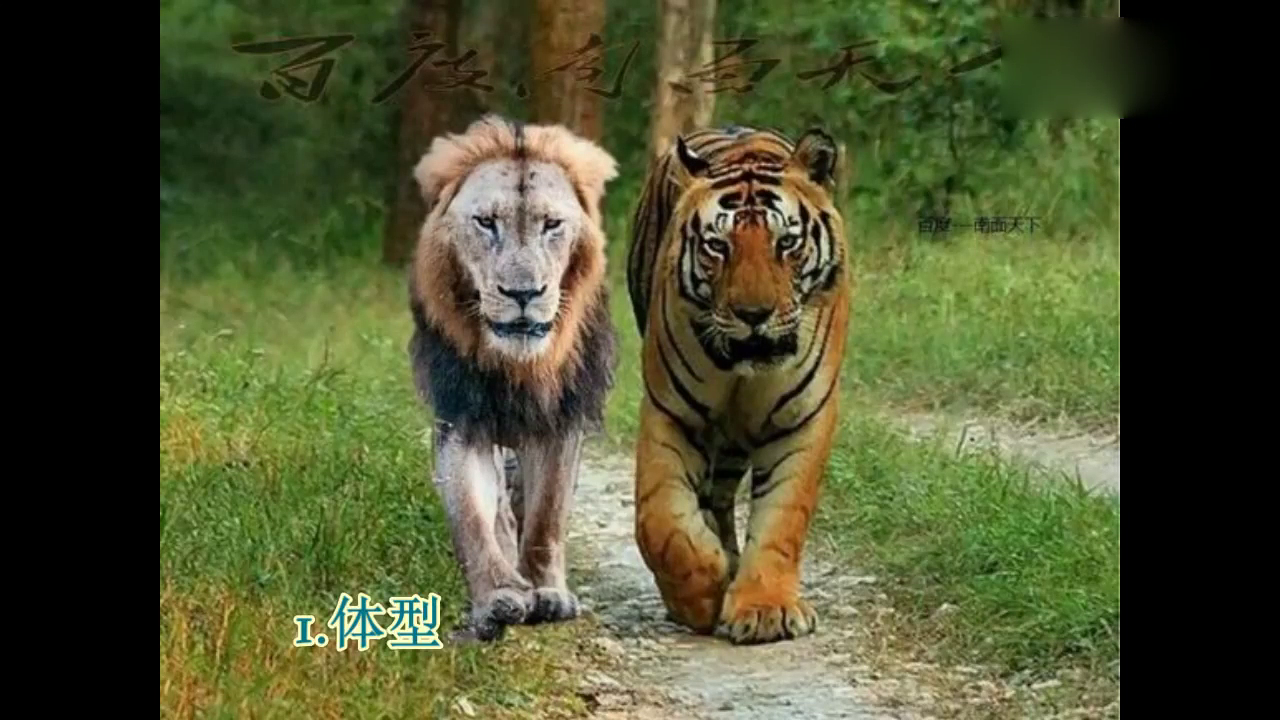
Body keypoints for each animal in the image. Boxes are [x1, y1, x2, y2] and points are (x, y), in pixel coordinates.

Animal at [624, 124, 852, 645]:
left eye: (786, 243)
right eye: (718, 246)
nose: (754, 314)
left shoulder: (802, 417)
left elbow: (783, 516)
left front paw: (765, 609)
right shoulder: (671, 410)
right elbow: (659, 519)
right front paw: (700, 594)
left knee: (723, 493)